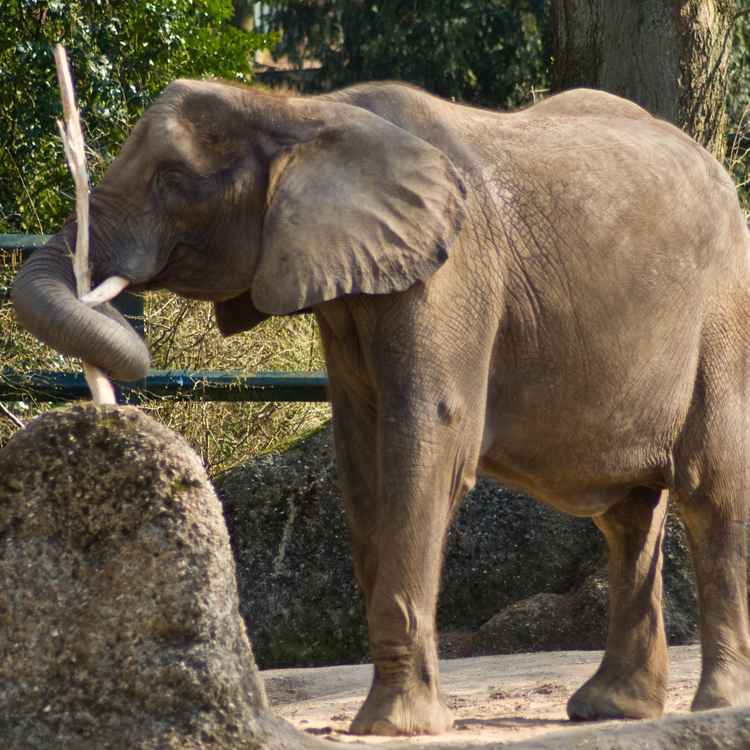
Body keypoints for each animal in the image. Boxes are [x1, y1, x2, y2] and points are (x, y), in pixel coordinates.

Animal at [12, 79, 750, 736]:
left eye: (172, 177)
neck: (302, 112)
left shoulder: (452, 272)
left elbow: (428, 435)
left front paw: (395, 726)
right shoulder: (349, 292)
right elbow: (362, 454)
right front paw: (392, 717)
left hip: (722, 307)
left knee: (710, 489)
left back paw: (714, 705)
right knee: (627, 517)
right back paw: (610, 709)